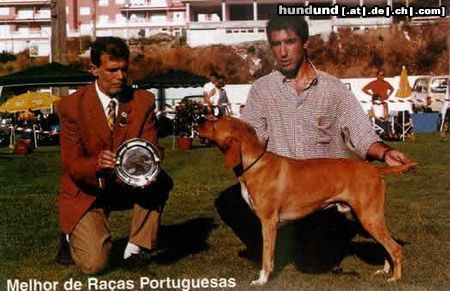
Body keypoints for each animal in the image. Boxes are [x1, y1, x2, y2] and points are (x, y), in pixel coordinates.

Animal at [199, 116, 416, 286]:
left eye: (215, 122)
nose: (199, 120)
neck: (254, 164)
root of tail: (374, 169)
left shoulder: (269, 222)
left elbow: (267, 256)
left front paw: (262, 280)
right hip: (367, 217)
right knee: (386, 245)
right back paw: (385, 270)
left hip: (369, 217)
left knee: (395, 248)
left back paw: (395, 278)